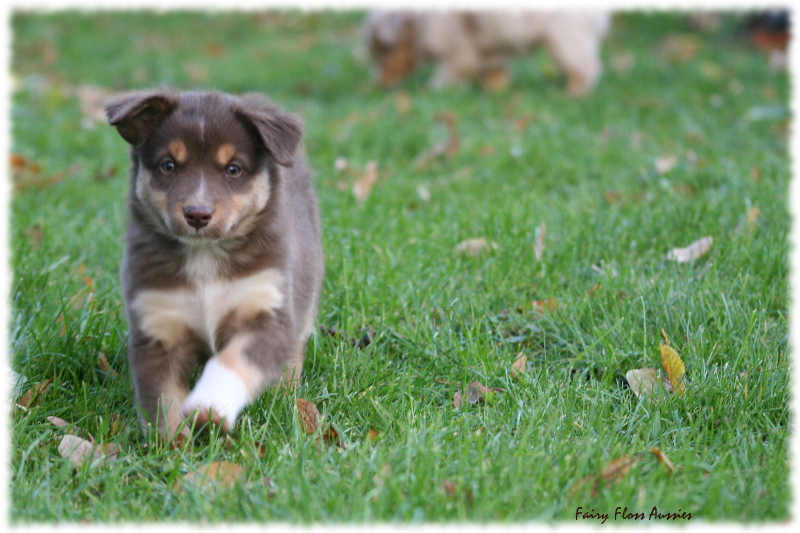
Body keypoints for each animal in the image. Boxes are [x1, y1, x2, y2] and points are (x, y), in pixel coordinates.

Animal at [107, 89, 324, 436]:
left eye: (233, 169)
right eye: (169, 165)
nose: (198, 214)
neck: (204, 256)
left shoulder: (267, 310)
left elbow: (234, 361)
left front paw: (210, 405)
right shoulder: (156, 330)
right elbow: (163, 403)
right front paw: (173, 445)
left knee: (295, 348)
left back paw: (284, 391)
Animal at [366, 10, 608, 95]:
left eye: (383, 52)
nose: (379, 81)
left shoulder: (459, 49)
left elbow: (451, 71)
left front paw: (436, 88)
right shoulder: (488, 48)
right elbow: (495, 70)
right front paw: (495, 88)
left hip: (565, 37)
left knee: (585, 66)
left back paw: (575, 93)